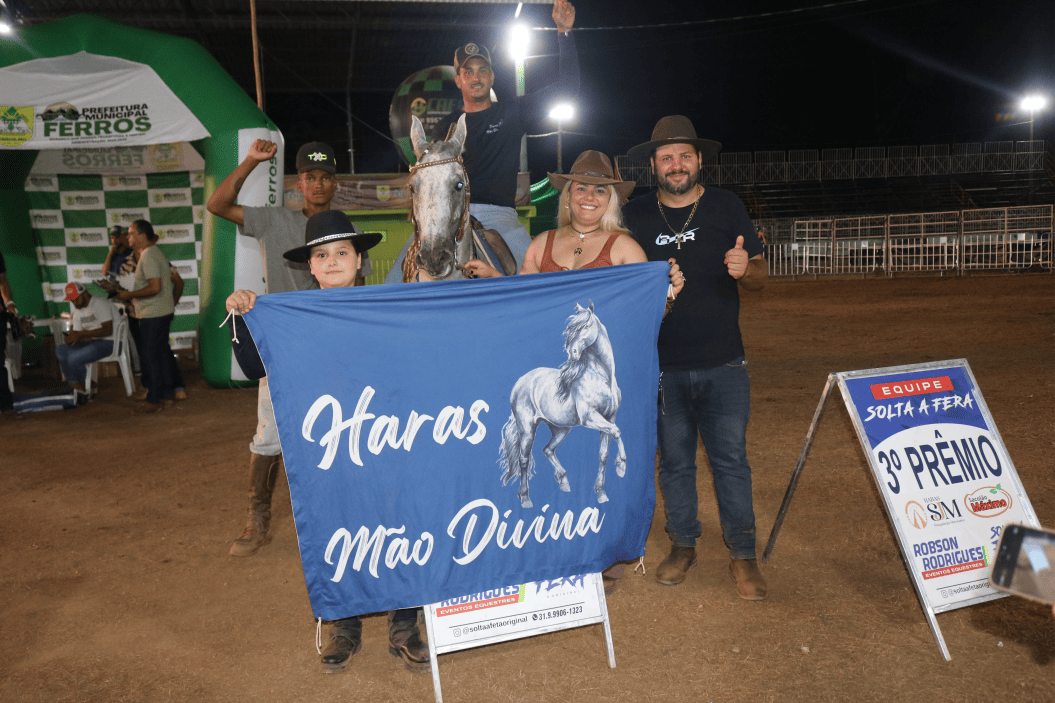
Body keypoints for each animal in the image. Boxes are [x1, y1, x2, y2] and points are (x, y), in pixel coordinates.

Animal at [498, 301, 626, 508]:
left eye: (586, 326)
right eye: (570, 330)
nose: (572, 353)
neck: (602, 378)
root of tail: (521, 383)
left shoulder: (608, 417)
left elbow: (603, 453)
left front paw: (601, 492)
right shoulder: (591, 418)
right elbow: (616, 431)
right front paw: (622, 465)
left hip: (561, 429)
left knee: (547, 449)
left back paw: (564, 481)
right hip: (527, 429)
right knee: (524, 459)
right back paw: (525, 497)